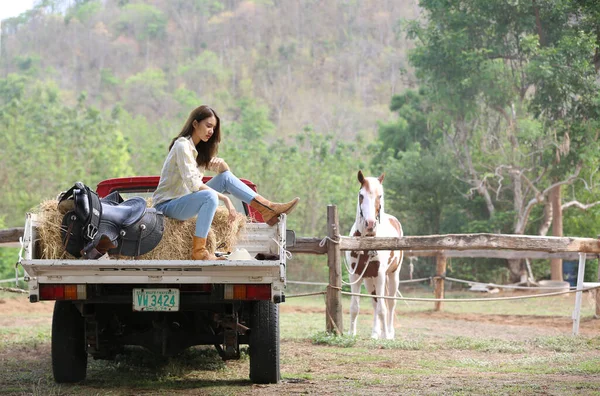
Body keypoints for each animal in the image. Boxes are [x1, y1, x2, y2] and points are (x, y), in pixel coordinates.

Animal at [346, 170, 404, 340]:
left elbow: (383, 309)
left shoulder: (380, 276)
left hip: (393, 276)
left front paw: (386, 336)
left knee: (390, 303)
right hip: (369, 280)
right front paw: (351, 333)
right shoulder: (355, 275)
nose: (370, 224)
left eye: (380, 195)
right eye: (361, 195)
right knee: (375, 302)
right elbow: (355, 307)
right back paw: (375, 333)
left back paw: (389, 332)